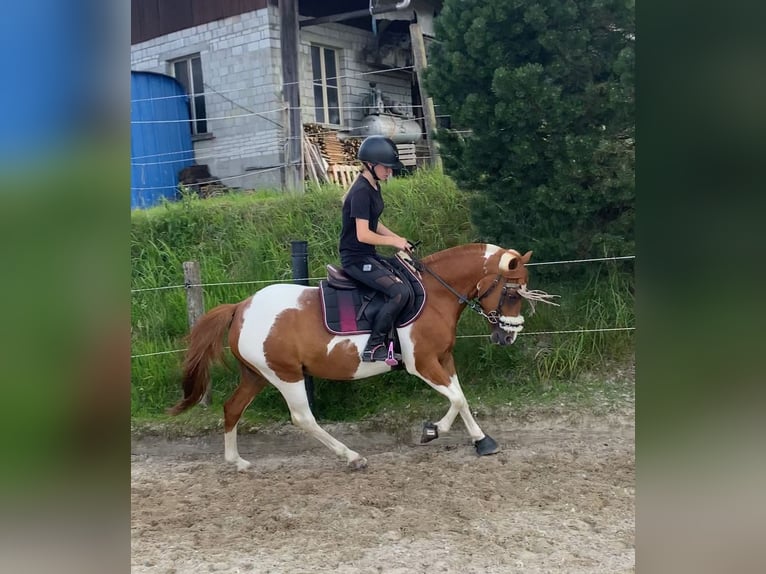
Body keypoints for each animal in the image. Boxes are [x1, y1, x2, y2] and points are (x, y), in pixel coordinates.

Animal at [168, 244, 560, 472]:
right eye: (513, 293)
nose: (508, 336)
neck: (434, 293)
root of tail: (241, 307)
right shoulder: (423, 363)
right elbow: (458, 398)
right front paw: (434, 430)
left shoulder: (443, 359)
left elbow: (460, 398)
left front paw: (478, 439)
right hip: (285, 375)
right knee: (302, 418)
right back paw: (352, 457)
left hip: (256, 374)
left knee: (232, 408)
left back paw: (236, 461)